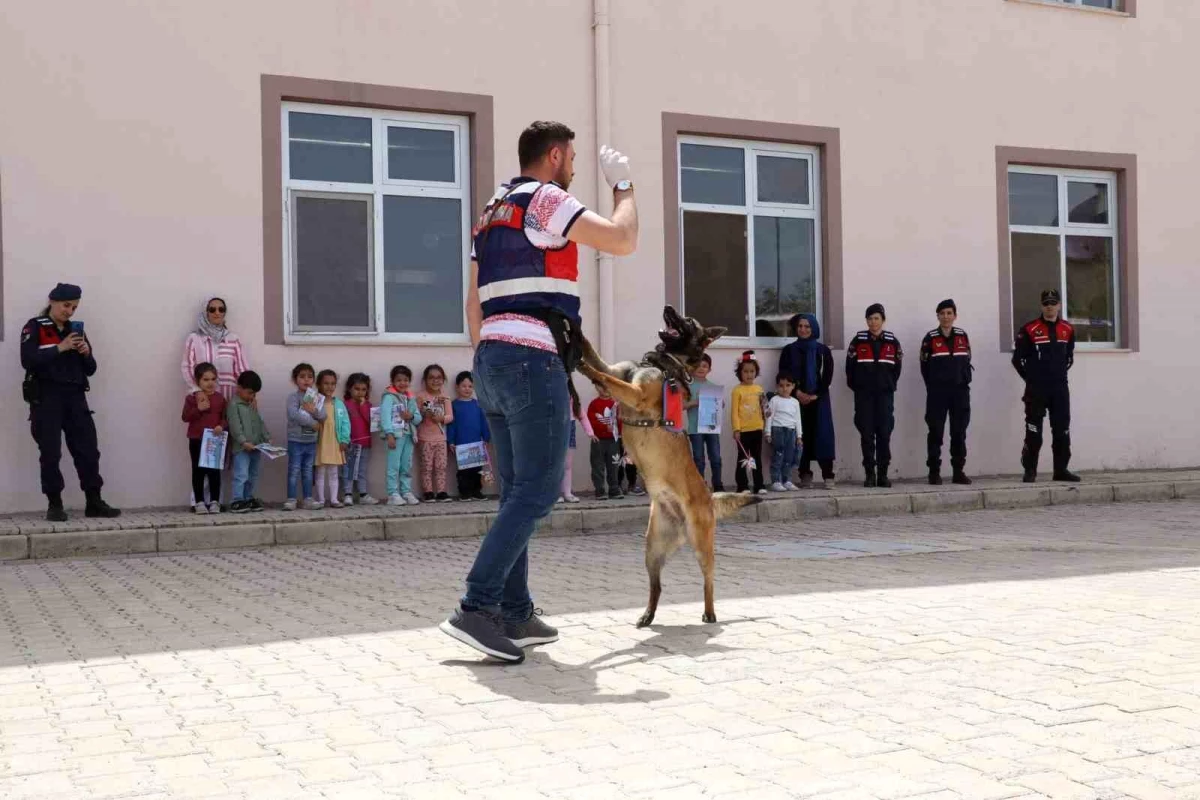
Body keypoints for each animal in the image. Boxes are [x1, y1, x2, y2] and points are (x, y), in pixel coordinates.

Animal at [578, 304, 758, 623]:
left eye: (688, 321)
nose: (668, 307)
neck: (667, 363)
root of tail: (708, 498)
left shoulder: (634, 393)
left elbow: (603, 375)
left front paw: (582, 367)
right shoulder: (617, 372)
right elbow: (594, 355)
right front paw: (572, 331)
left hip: (701, 544)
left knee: (709, 579)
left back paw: (709, 613)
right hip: (651, 548)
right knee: (657, 585)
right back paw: (647, 615)